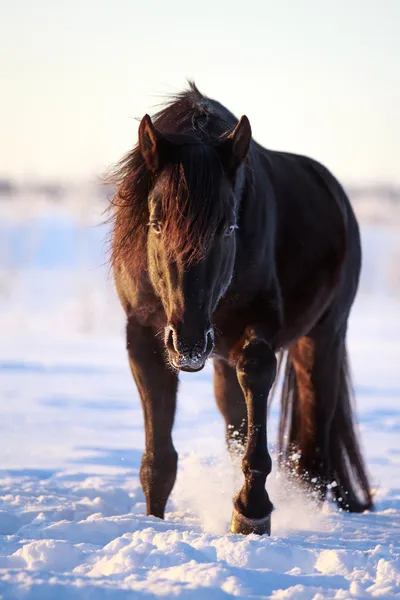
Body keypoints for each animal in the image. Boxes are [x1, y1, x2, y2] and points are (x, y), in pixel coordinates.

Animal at [109, 81, 372, 536]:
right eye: (156, 224)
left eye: (228, 227)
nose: (190, 343)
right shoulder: (144, 337)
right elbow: (159, 461)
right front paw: (155, 523)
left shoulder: (258, 331)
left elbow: (257, 385)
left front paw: (252, 510)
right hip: (218, 356)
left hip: (321, 337)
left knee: (315, 446)